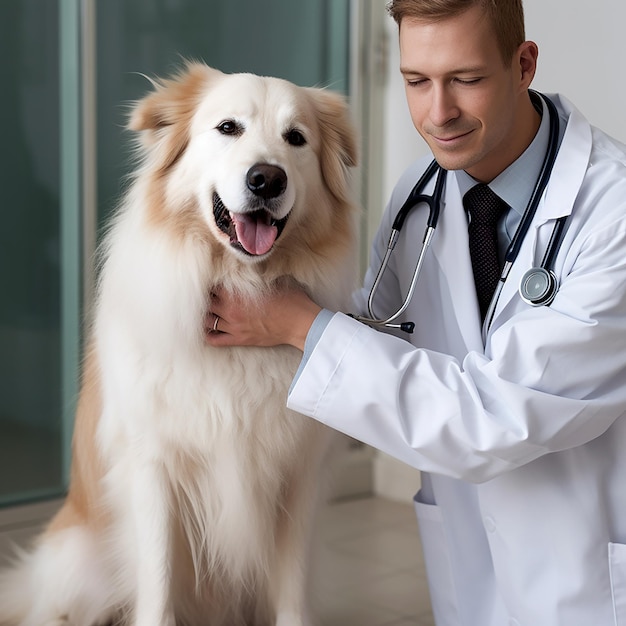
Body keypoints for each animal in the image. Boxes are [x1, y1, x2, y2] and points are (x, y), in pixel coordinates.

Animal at [0, 62, 358, 624]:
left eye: (296, 138)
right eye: (228, 127)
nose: (267, 178)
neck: (241, 280)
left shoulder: (299, 477)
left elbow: (292, 594)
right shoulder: (154, 469)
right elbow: (158, 581)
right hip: (82, 569)